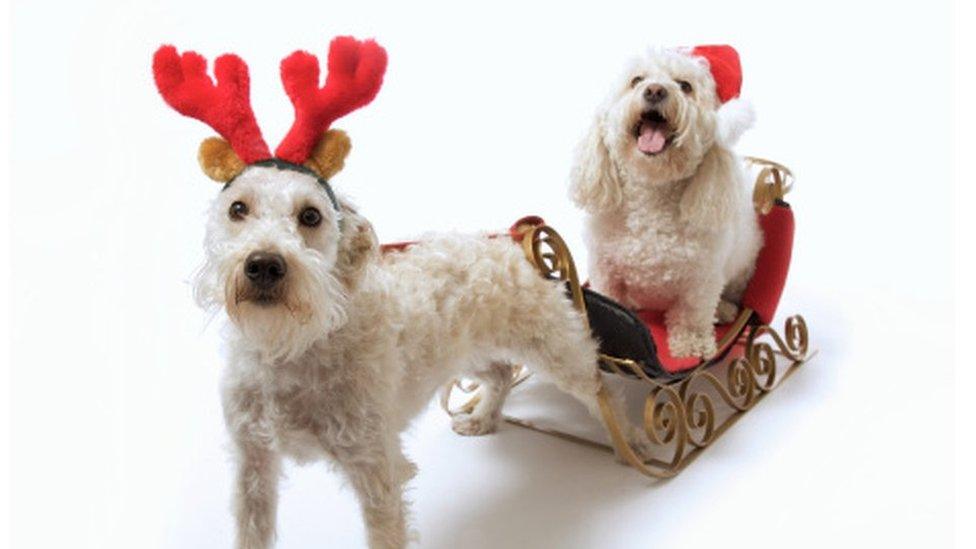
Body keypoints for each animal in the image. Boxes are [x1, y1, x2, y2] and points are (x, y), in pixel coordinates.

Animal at [572, 45, 764, 358]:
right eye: (636, 80)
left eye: (685, 86)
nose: (654, 91)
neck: (651, 190)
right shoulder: (605, 267)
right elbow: (610, 298)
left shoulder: (701, 279)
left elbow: (692, 314)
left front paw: (691, 344)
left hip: (743, 264)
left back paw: (724, 310)